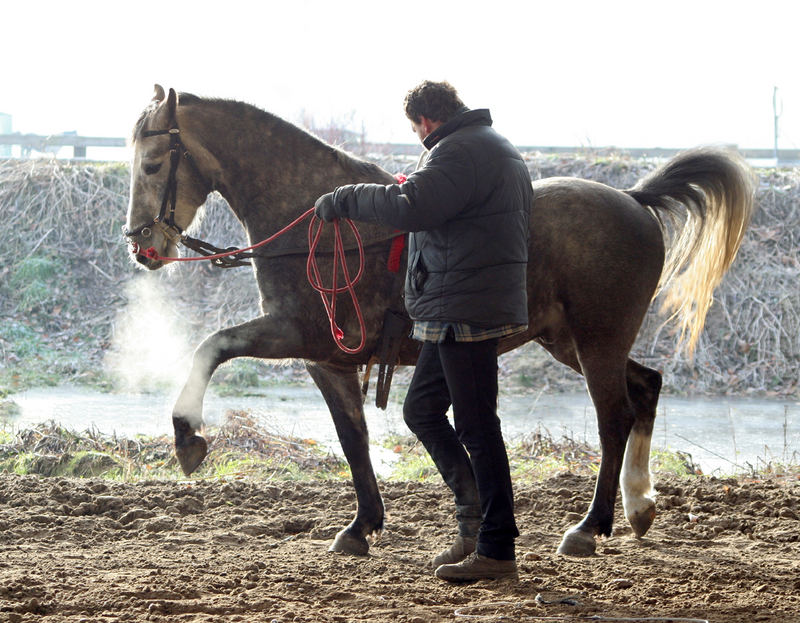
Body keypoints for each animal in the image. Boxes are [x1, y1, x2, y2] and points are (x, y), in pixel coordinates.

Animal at [122, 85, 752, 560]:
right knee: (645, 388)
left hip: (596, 341)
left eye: (152, 163)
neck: (316, 225)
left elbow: (211, 347)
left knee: (614, 417)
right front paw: (361, 527)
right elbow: (353, 439)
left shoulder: (296, 333)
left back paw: (589, 527)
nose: (141, 246)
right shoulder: (328, 360)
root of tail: (634, 199)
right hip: (570, 342)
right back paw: (639, 505)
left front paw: (187, 436)